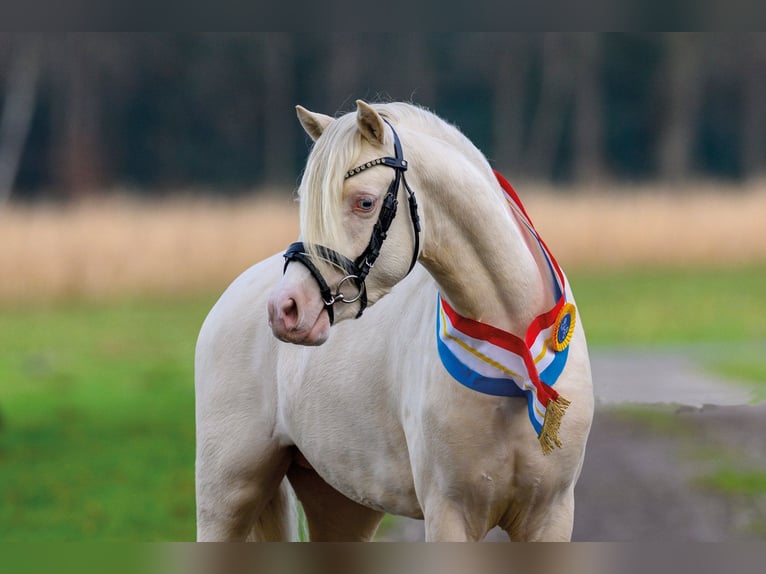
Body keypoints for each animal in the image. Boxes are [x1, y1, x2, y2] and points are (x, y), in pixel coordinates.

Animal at [195, 100, 596, 544]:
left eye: (365, 203)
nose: (286, 309)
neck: (515, 362)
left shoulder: (550, 514)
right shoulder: (449, 513)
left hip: (340, 504)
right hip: (226, 496)